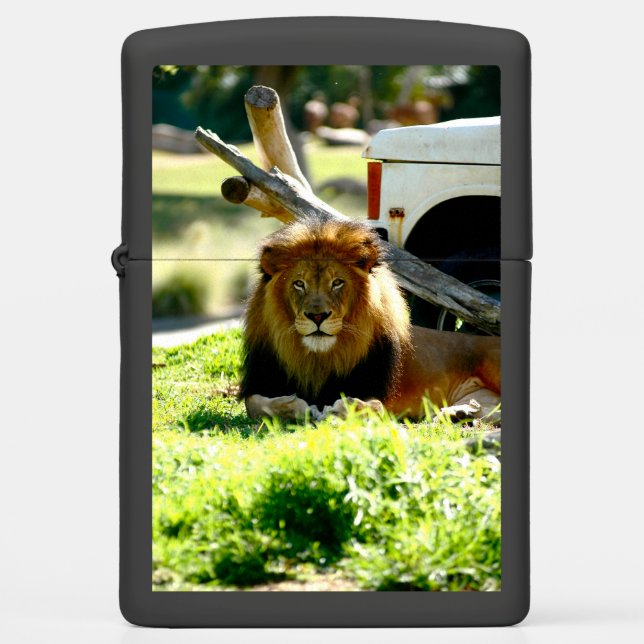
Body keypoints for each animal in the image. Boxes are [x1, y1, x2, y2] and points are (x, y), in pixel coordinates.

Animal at [239, 214, 500, 423]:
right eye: (299, 283)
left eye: (337, 282)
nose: (317, 316)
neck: (319, 357)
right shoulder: (262, 379)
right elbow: (255, 404)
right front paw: (294, 406)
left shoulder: (378, 394)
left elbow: (370, 406)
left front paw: (340, 409)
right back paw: (456, 413)